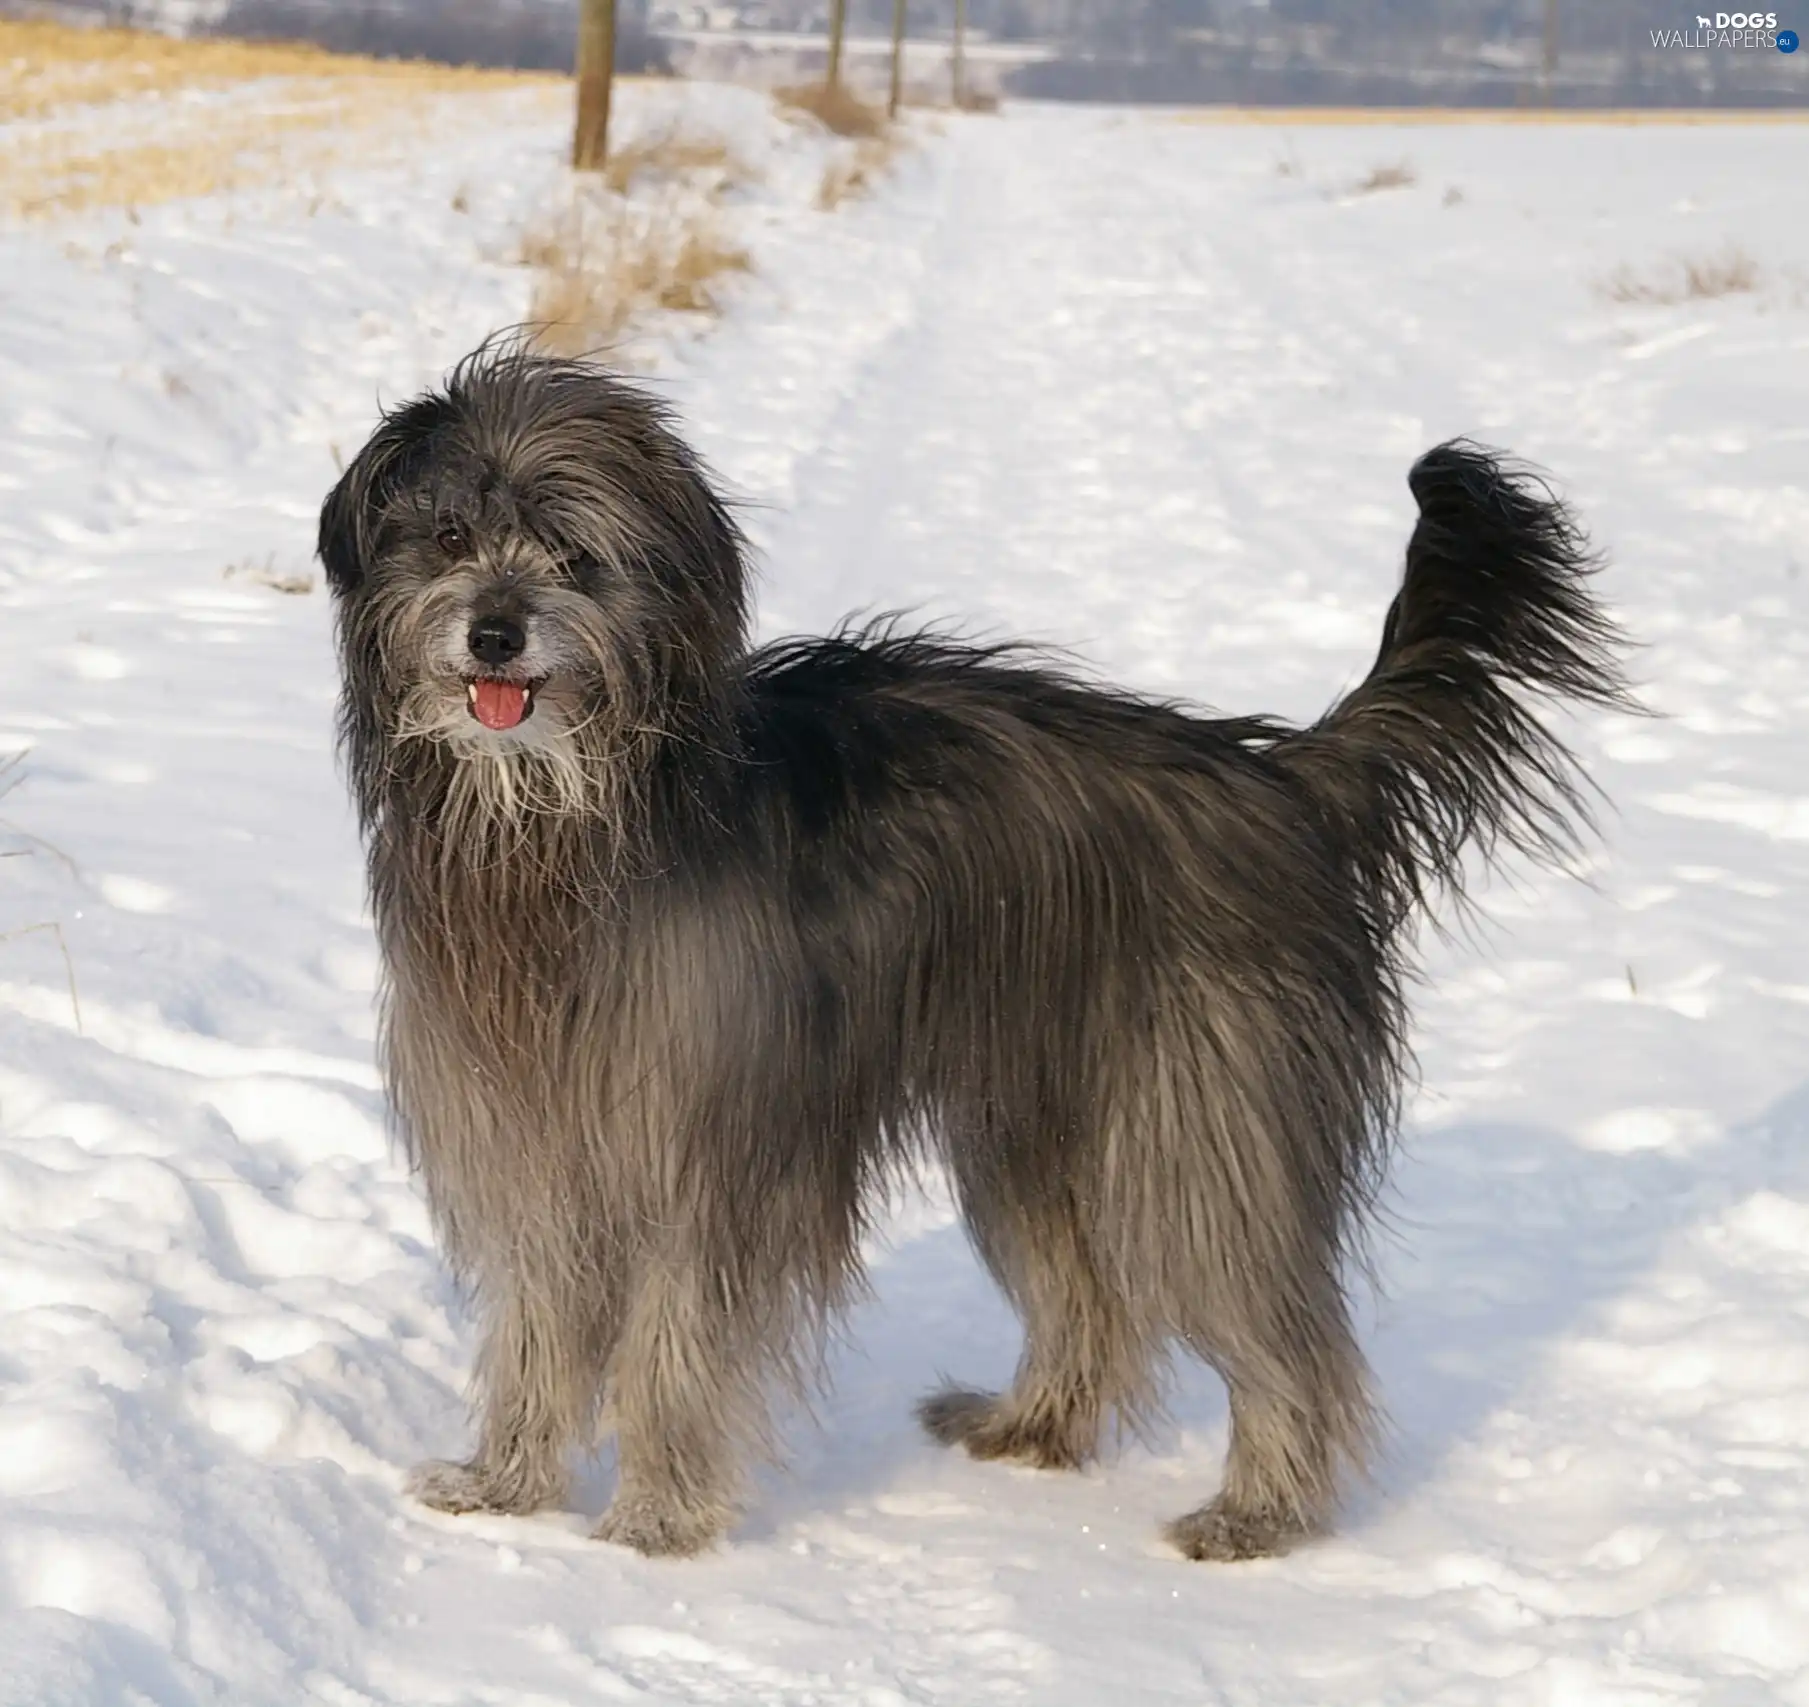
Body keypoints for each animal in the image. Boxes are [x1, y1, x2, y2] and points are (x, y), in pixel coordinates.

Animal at [322, 343, 1628, 1562]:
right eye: (447, 536)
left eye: (577, 555)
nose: (496, 632)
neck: (564, 834)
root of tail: (1281, 779)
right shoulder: (531, 1129)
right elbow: (537, 1322)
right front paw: (503, 1483)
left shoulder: (716, 1144)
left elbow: (675, 1337)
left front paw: (656, 1518)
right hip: (1031, 1123)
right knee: (1085, 1297)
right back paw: (1030, 1424)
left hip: (1199, 1121)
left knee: (1278, 1325)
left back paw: (1258, 1511)